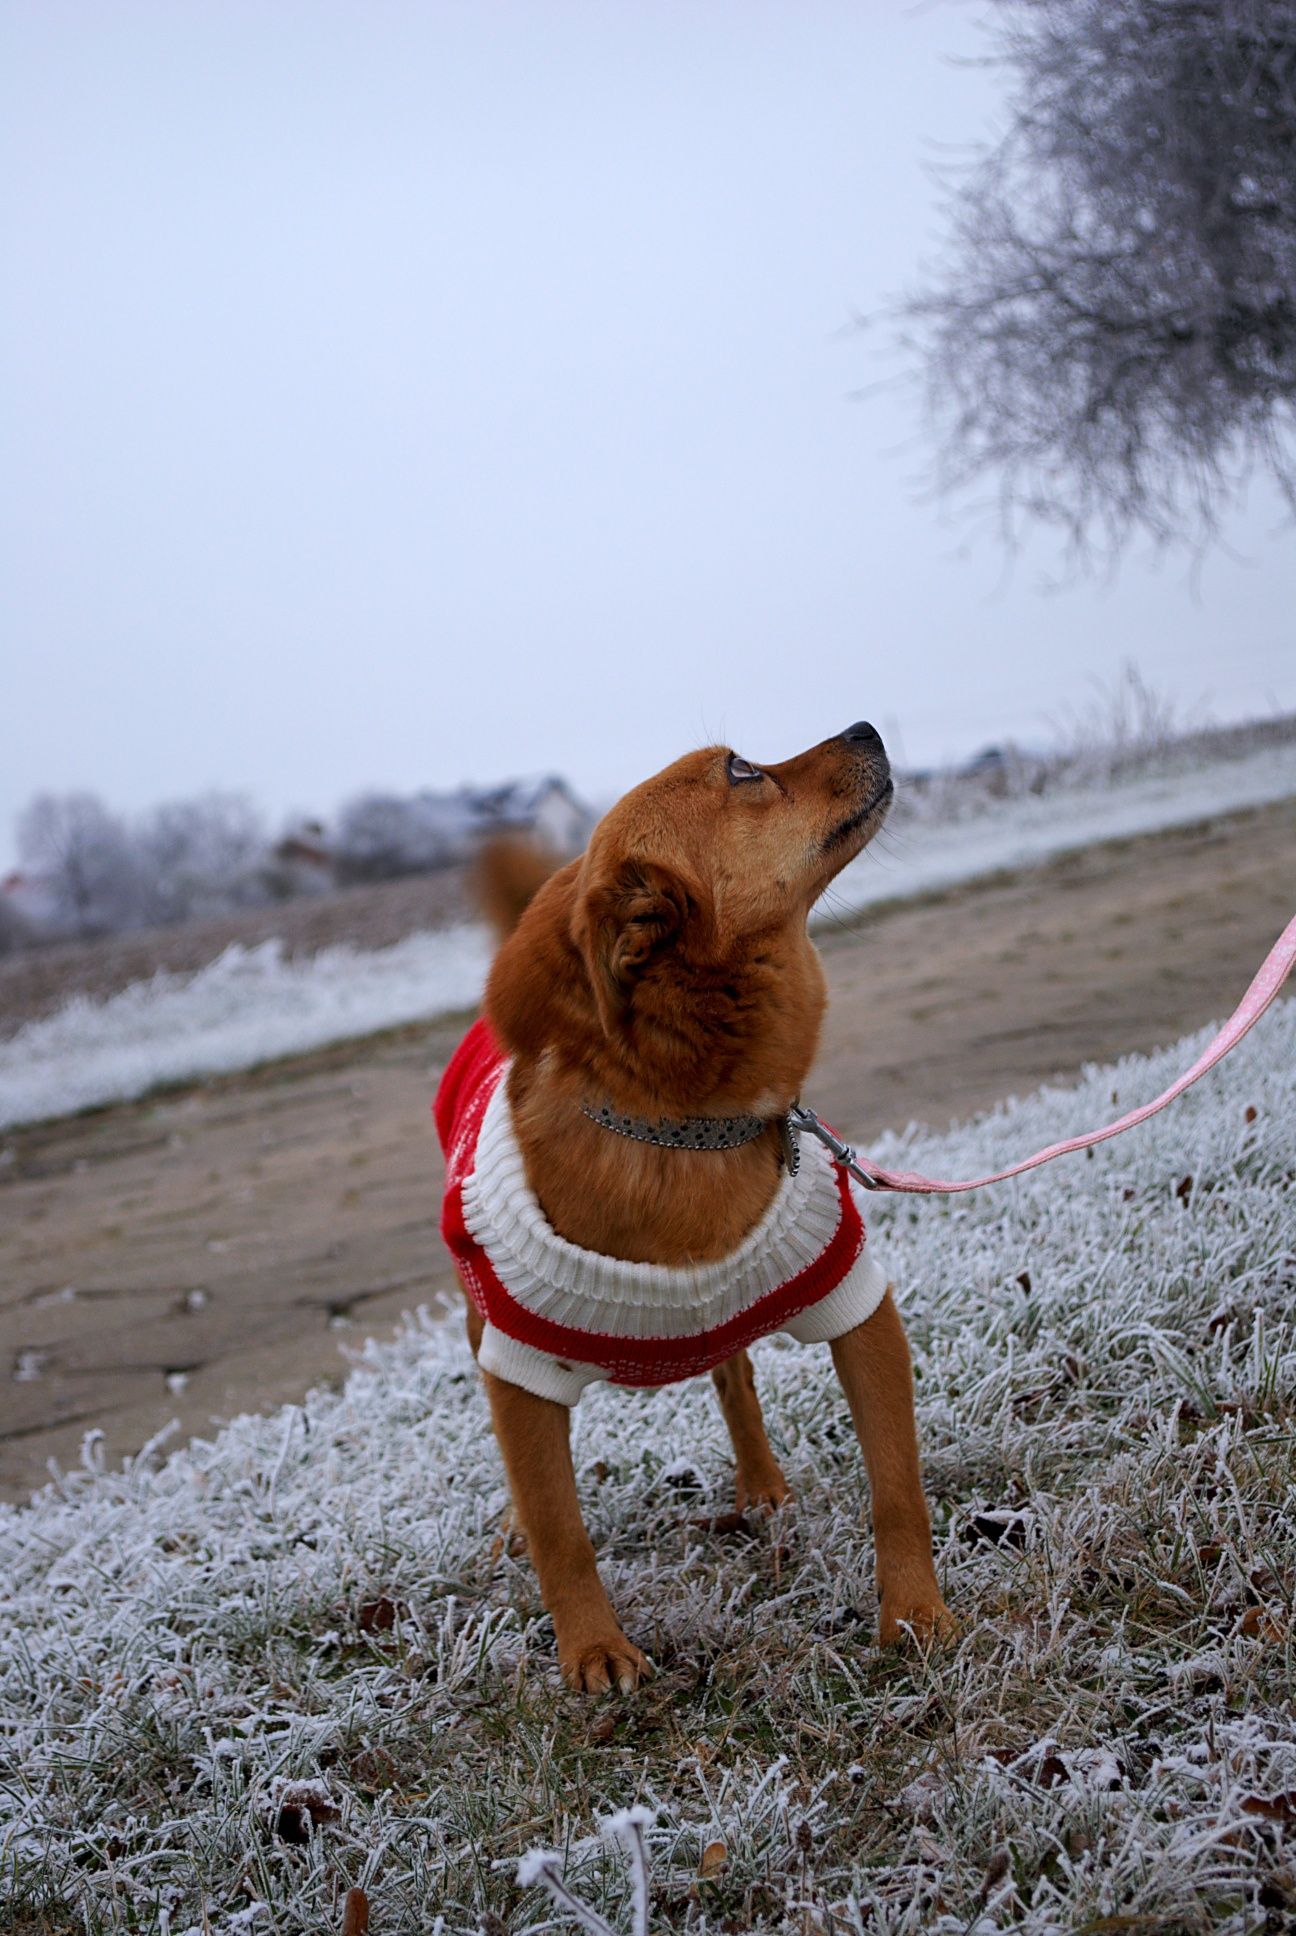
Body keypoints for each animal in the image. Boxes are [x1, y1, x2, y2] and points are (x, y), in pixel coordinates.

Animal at [439, 727, 956, 1695]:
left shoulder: (858, 1311)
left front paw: (913, 1612)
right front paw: (591, 1647)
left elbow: (896, 1487)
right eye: (742, 772)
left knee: (733, 1378)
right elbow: (562, 1532)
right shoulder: (521, 1367)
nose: (869, 729)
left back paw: (760, 1484)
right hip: (480, 1325)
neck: (682, 1125)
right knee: (528, 1473)